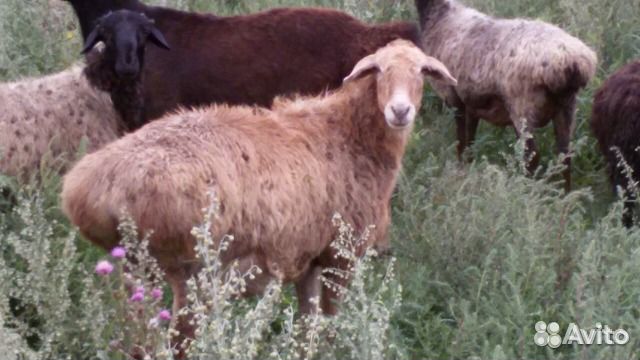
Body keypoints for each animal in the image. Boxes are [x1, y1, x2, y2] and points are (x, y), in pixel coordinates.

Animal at [416, 0, 596, 191]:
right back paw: (565, 195)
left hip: (522, 107)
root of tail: (571, 62)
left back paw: (527, 190)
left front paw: (460, 172)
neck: (440, 17)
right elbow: (470, 140)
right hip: (566, 107)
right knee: (565, 155)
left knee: (532, 156)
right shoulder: (472, 102)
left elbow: (461, 140)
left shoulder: (453, 97)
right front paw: (468, 167)